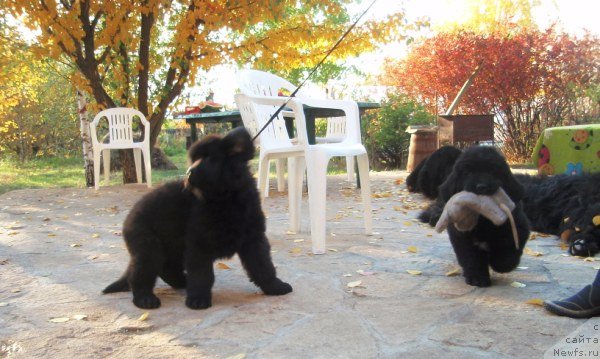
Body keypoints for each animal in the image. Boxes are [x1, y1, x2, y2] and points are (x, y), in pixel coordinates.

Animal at [104, 129, 294, 310]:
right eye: (193, 159)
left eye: (209, 158)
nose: (188, 174)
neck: (225, 198)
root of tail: (129, 217)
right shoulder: (199, 243)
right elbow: (201, 274)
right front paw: (198, 299)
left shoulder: (253, 238)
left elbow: (263, 266)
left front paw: (274, 287)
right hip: (149, 248)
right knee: (140, 275)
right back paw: (145, 298)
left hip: (172, 247)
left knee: (166, 269)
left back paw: (182, 282)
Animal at [418, 146, 528, 286]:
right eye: (468, 173)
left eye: (493, 171)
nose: (481, 187)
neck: (483, 219)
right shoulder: (461, 237)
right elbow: (471, 258)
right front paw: (478, 278)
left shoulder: (518, 227)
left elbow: (507, 251)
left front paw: (499, 263)